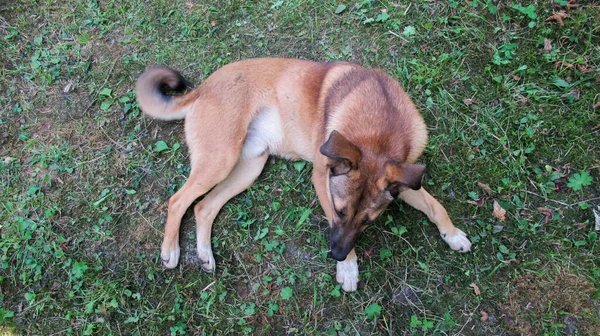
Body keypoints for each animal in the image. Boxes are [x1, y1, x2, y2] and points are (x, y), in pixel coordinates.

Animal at [137, 59, 474, 292]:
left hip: (248, 169)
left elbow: (436, 206)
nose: (336, 255)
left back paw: (205, 255)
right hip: (220, 158)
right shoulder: (321, 178)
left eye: (369, 221)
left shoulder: (404, 179)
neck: (380, 130)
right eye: (339, 211)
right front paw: (348, 270)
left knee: (203, 207)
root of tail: (202, 89)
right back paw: (171, 251)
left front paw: (453, 234)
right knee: (178, 200)